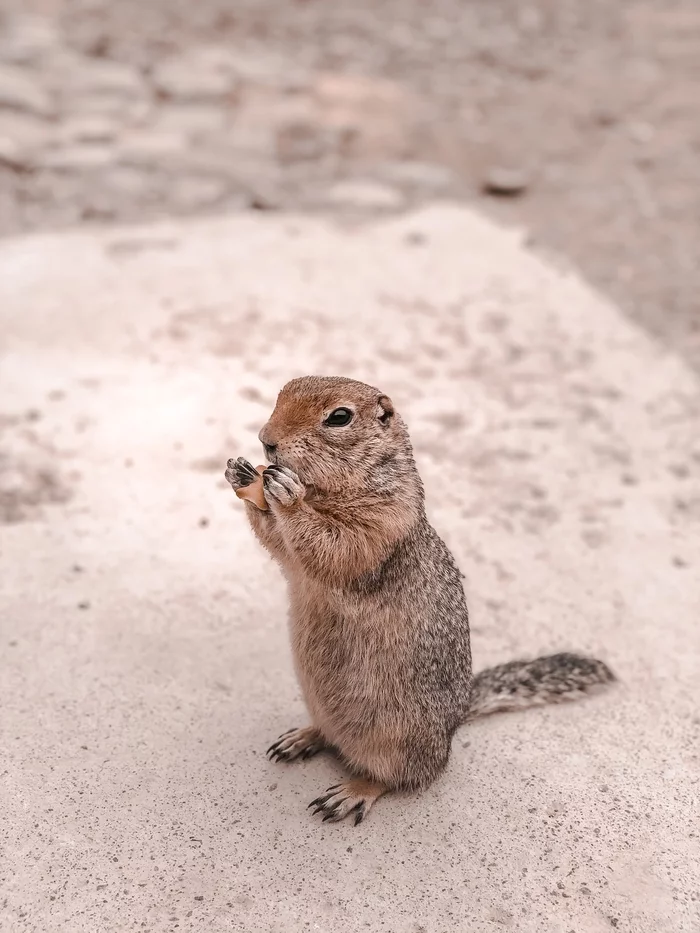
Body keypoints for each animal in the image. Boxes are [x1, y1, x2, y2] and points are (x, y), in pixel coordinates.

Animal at [224, 372, 612, 824]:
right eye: (282, 392)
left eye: (339, 417)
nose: (265, 440)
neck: (326, 490)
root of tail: (454, 724)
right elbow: (280, 542)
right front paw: (241, 473)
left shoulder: (381, 524)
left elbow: (333, 545)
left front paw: (286, 494)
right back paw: (301, 738)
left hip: (400, 741)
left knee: (397, 777)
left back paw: (351, 792)